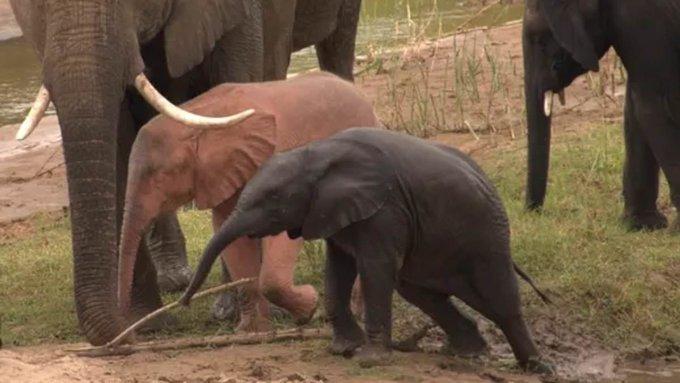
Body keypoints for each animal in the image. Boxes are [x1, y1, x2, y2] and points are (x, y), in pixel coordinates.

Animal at [118, 71, 382, 332]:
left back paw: (359, 314)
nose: (127, 333)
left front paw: (309, 309)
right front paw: (252, 331)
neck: (200, 118)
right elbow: (229, 234)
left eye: (162, 175)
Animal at [179, 127, 552, 374]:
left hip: (487, 235)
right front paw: (342, 349)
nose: (183, 301)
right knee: (420, 292)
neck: (315, 154)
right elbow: (338, 270)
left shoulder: (385, 208)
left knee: (500, 299)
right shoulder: (334, 212)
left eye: (272, 202)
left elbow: (375, 269)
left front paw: (369, 360)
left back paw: (535, 366)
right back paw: (468, 353)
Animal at [520, 0, 680, 231]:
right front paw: (642, 224)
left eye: (539, 39)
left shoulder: (644, 19)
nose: (533, 213)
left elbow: (652, 107)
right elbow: (636, 105)